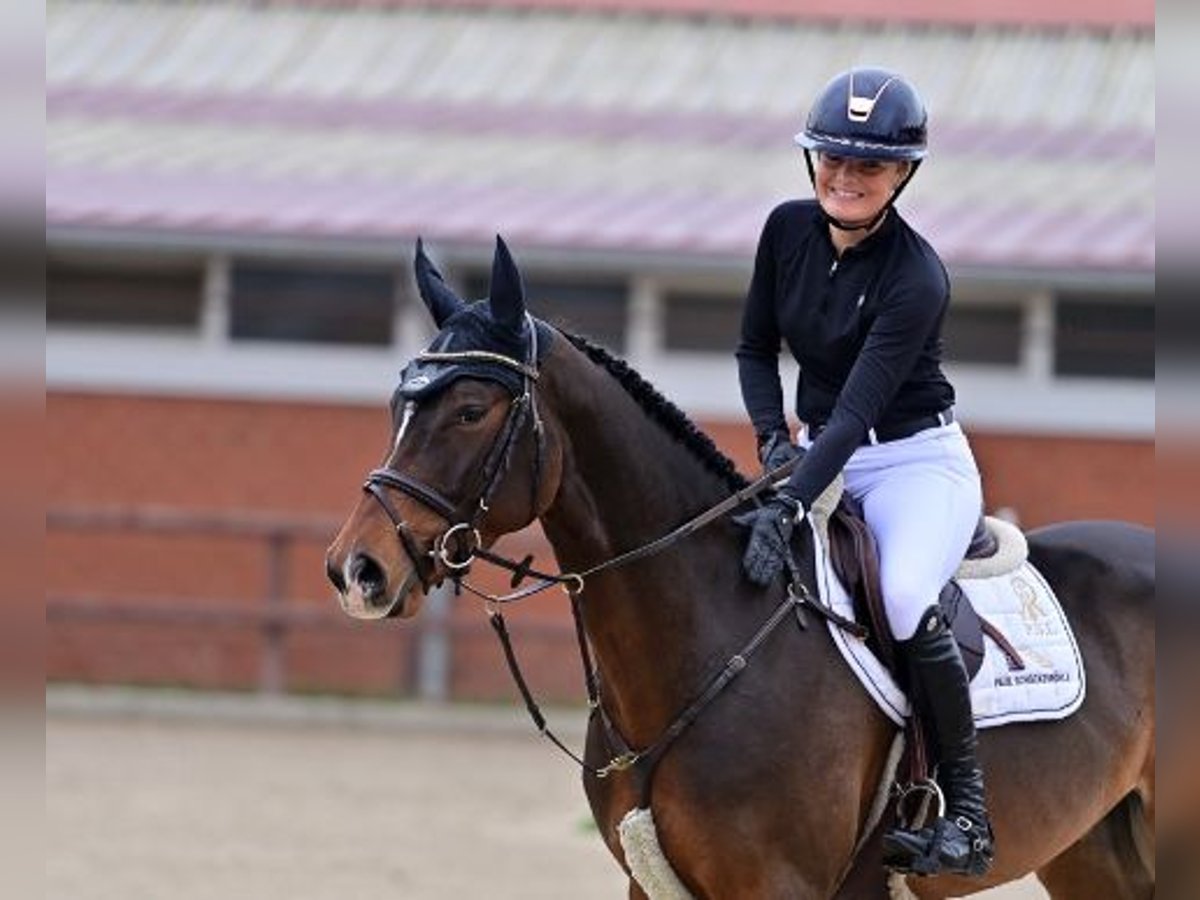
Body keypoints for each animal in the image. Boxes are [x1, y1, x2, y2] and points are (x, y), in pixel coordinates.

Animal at [326, 240, 1152, 900]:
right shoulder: (652, 883)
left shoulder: (781, 886)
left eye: (470, 410)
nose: (356, 570)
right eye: (399, 405)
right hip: (1092, 852)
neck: (709, 637)